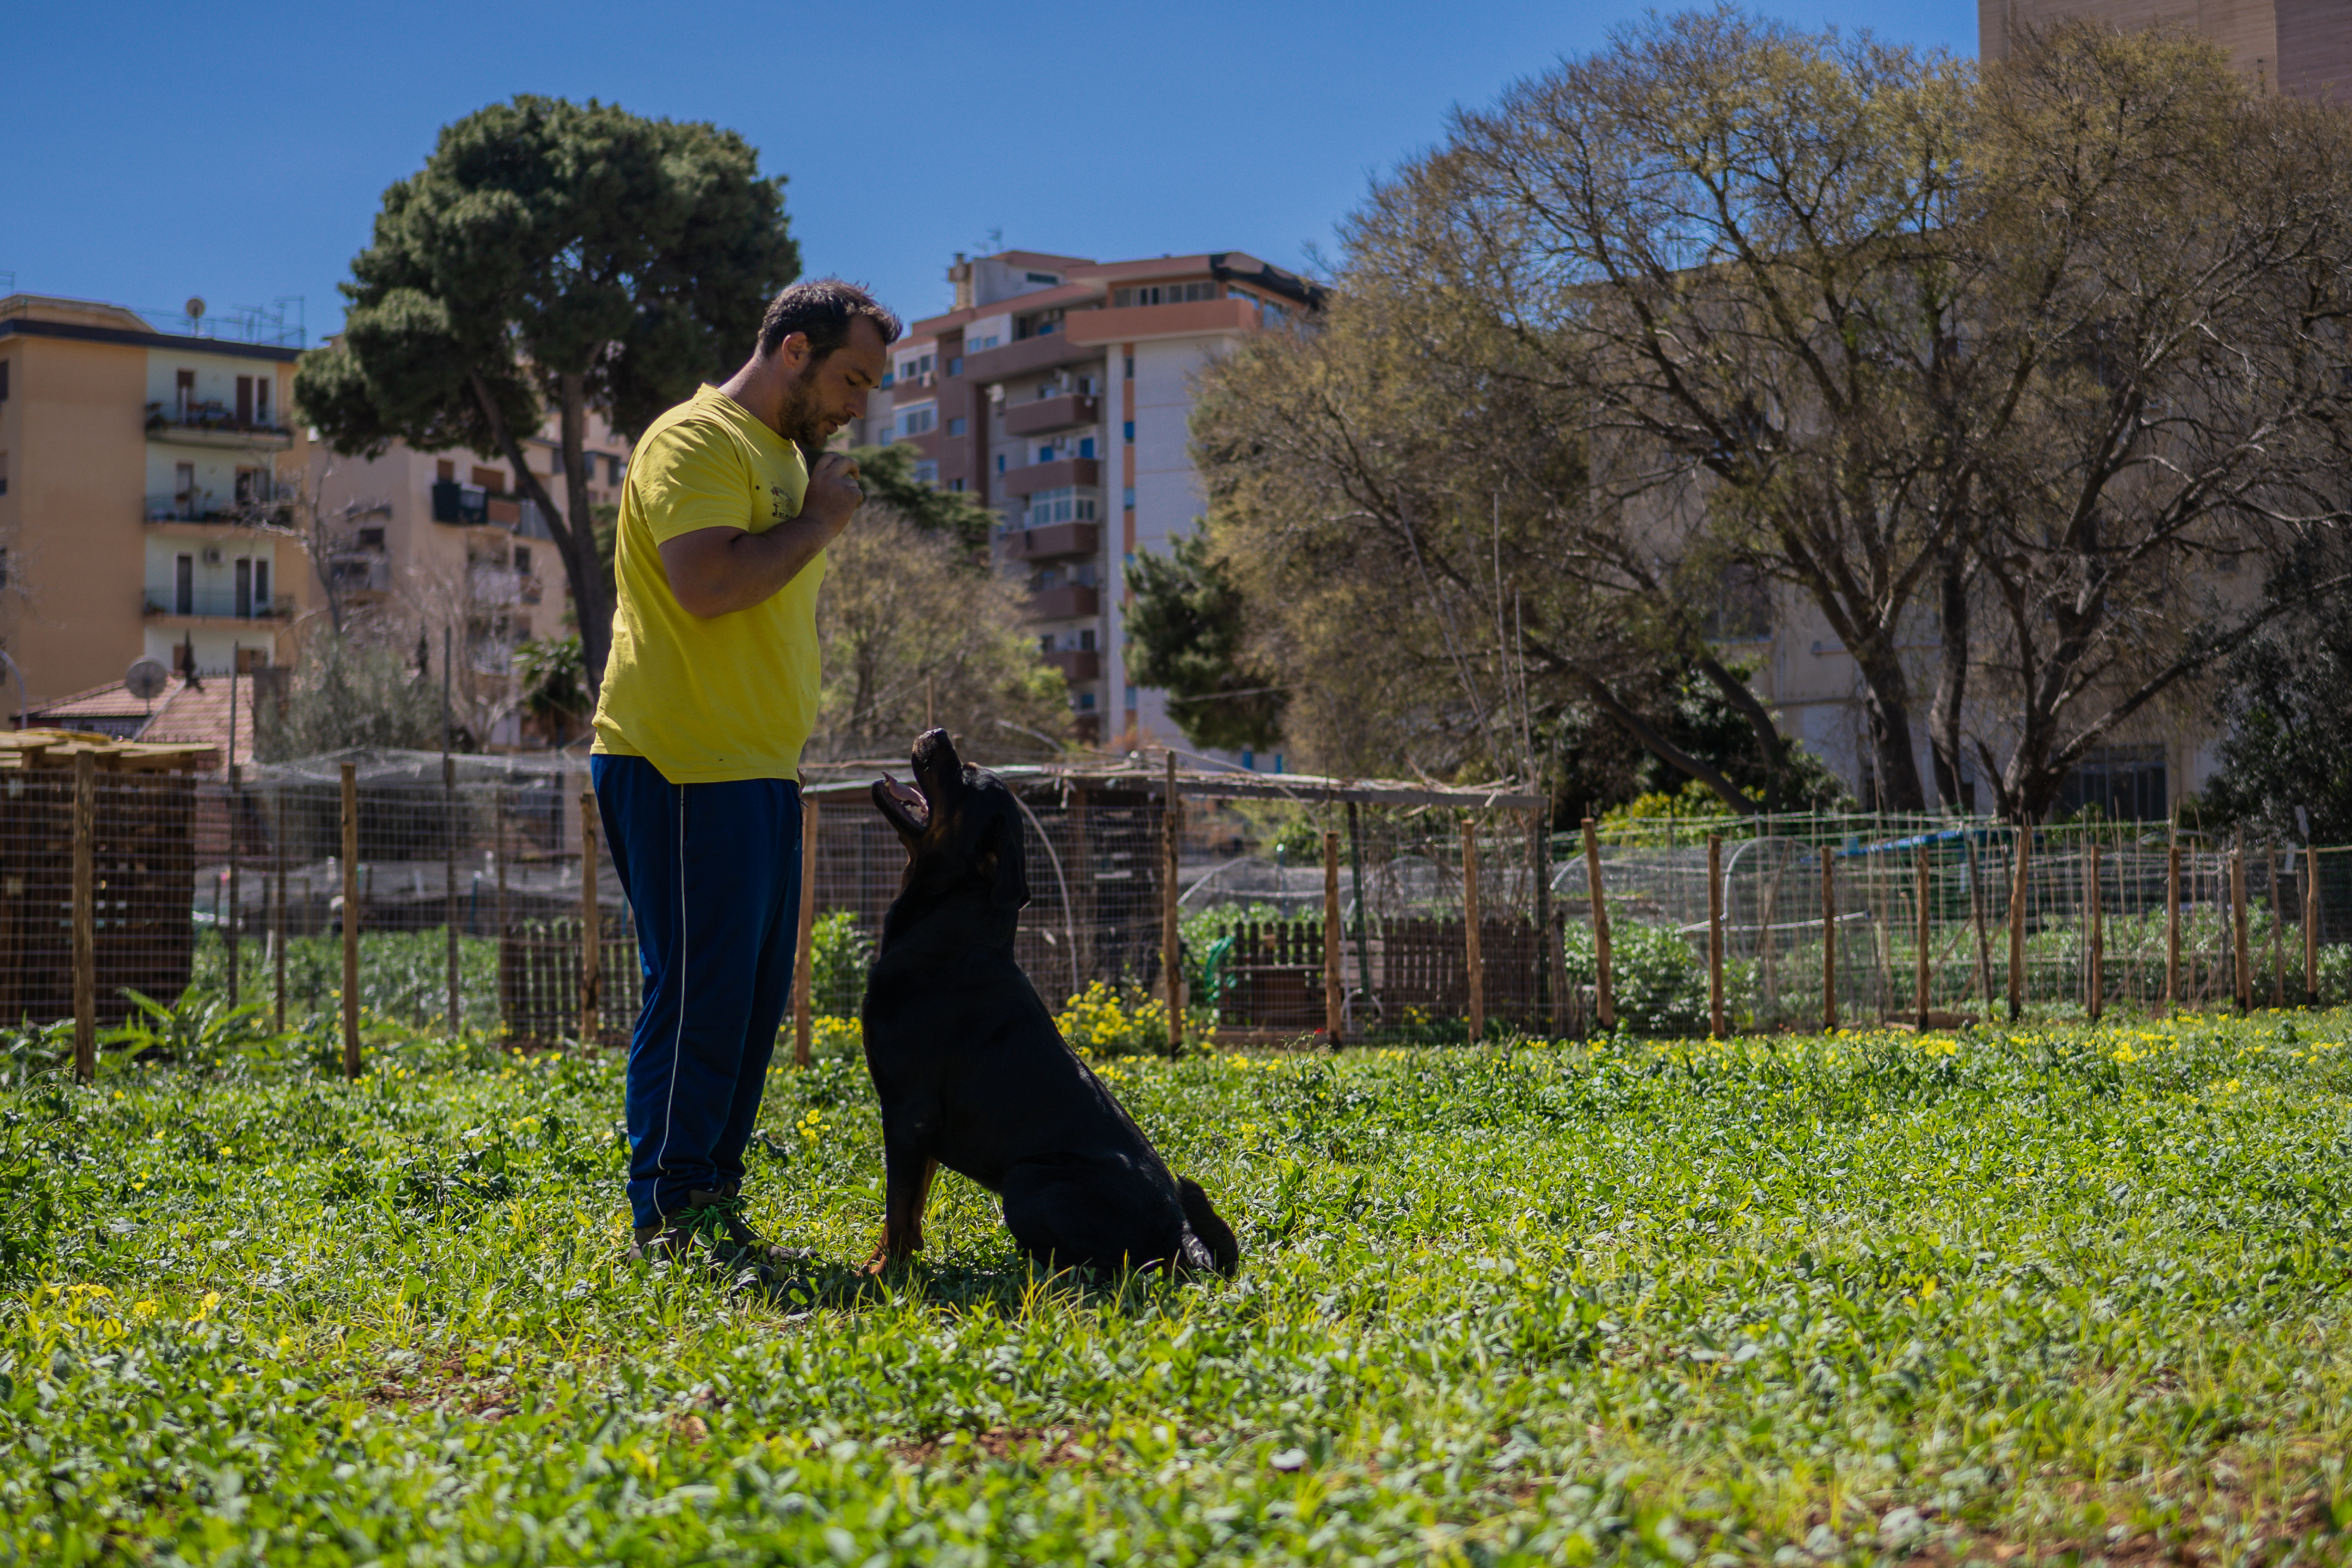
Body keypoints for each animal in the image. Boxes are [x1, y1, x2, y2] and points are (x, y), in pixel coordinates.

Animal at [856, 728, 1242, 1279]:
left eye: (964, 775)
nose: (940, 733)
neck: (952, 928)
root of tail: (1182, 1230)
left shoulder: (910, 1112)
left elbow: (899, 1205)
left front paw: (884, 1273)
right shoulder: (919, 1127)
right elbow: (909, 1207)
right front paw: (885, 1260)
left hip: (1026, 1181)